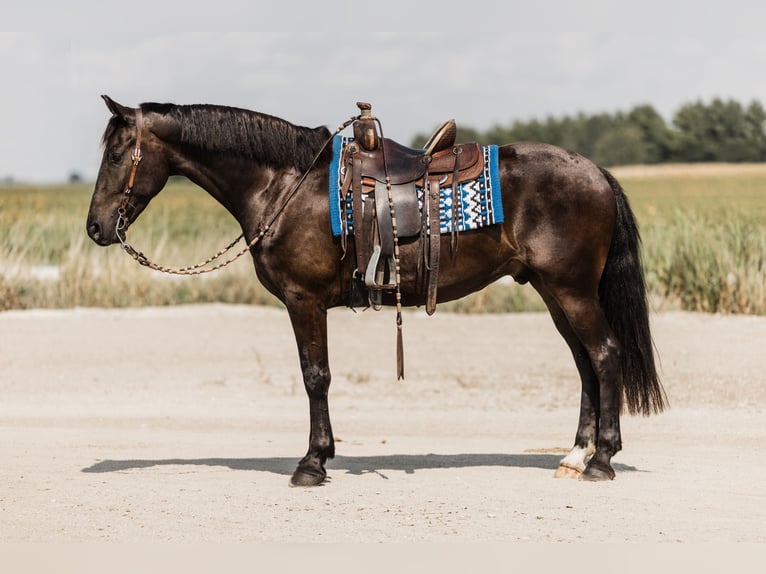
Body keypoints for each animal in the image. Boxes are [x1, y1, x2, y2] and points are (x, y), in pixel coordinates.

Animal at [86, 95, 665, 486]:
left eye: (116, 154)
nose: (95, 227)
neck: (284, 184)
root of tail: (596, 171)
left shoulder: (303, 300)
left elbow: (315, 376)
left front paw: (312, 463)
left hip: (572, 290)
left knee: (604, 355)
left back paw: (601, 460)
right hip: (554, 291)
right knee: (585, 363)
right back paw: (575, 455)